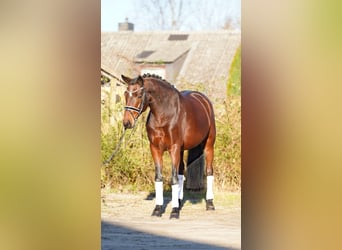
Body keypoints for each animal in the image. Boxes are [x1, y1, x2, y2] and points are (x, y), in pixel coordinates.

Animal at [121, 73, 215, 218]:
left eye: (138, 95)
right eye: (126, 94)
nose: (127, 123)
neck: (164, 115)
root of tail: (203, 99)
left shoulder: (174, 148)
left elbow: (174, 178)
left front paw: (174, 212)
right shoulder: (155, 148)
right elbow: (159, 177)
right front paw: (158, 209)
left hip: (208, 145)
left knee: (209, 171)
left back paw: (209, 204)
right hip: (181, 150)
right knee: (181, 171)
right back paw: (179, 201)